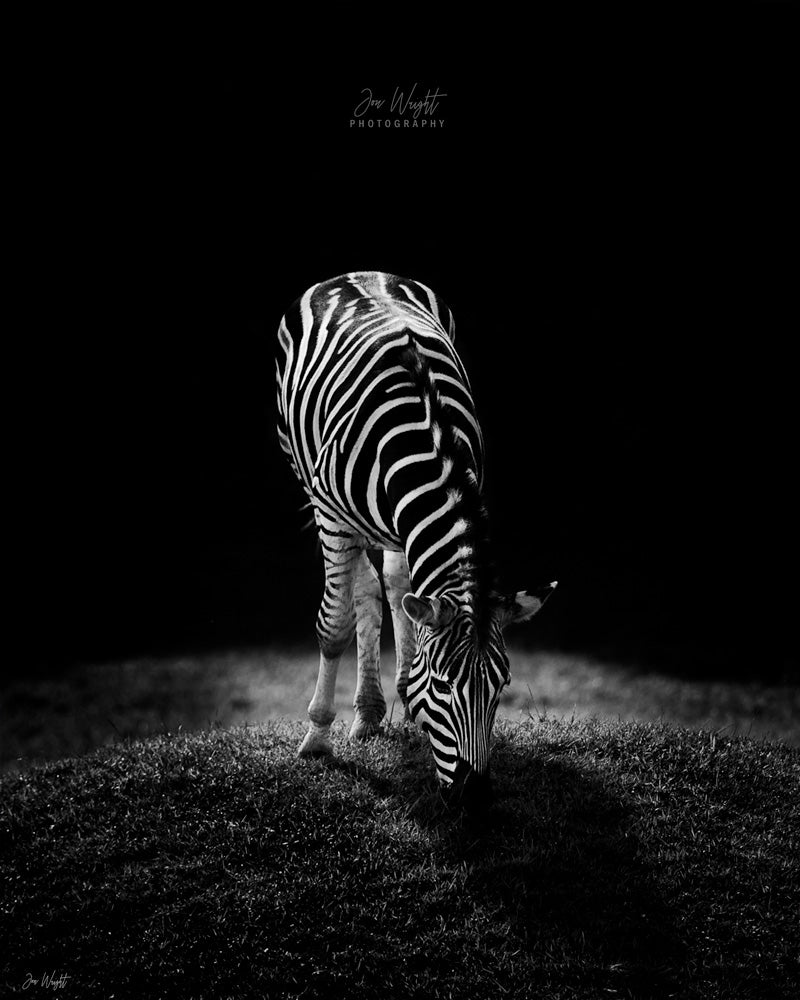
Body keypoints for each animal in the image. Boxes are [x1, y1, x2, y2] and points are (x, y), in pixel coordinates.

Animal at [276, 271, 555, 808]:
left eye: (502, 686)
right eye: (443, 686)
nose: (476, 798)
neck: (429, 438)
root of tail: (357, 273)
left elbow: (406, 597)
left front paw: (407, 698)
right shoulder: (329, 515)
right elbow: (334, 625)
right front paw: (317, 738)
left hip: (390, 527)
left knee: (389, 585)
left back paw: (380, 703)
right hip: (312, 482)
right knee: (362, 590)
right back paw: (363, 712)